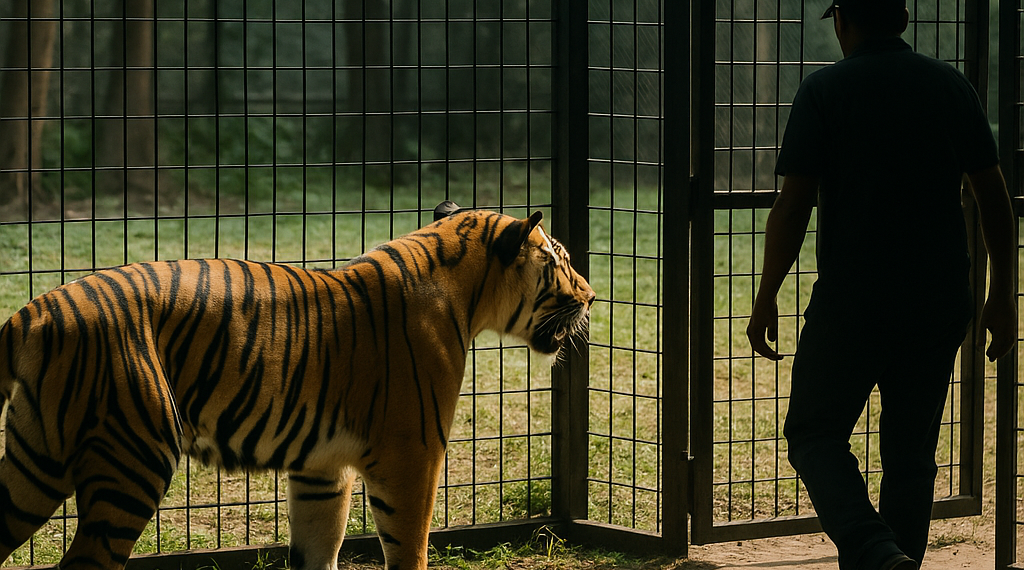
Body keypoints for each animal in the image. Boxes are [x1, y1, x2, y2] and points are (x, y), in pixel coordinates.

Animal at [0, 201, 595, 570]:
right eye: (561, 261)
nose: (591, 296)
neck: (463, 288)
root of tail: (32, 312)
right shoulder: (412, 456)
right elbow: (409, 550)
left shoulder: (321, 471)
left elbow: (318, 551)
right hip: (133, 460)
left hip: (35, 465)